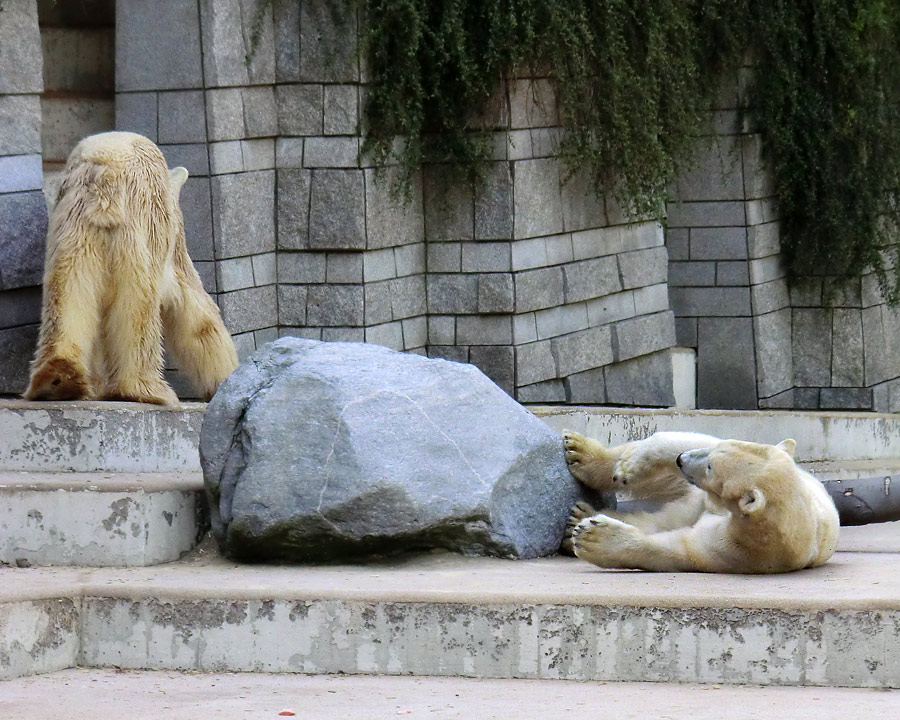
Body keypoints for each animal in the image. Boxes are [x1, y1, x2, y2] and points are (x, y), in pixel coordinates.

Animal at [25, 132, 237, 404]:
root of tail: (104, 179)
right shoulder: (169, 237)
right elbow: (194, 308)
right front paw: (225, 376)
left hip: (72, 231)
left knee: (67, 291)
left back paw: (57, 380)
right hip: (136, 231)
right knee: (139, 307)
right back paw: (145, 389)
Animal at [568, 430, 840, 572]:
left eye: (711, 467)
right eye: (712, 458)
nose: (682, 460)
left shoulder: (743, 548)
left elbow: (679, 549)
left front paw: (592, 537)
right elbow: (688, 440)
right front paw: (628, 466)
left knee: (662, 520)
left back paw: (576, 519)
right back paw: (581, 453)